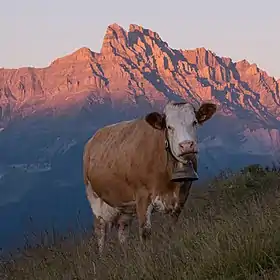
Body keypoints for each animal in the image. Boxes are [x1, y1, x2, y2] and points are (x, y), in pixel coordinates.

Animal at [83, 100, 217, 254]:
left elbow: (171, 227)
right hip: (94, 199)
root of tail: (93, 139)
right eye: (169, 127)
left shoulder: (182, 196)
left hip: (124, 207)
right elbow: (145, 232)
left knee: (122, 231)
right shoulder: (142, 196)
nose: (187, 145)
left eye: (194, 122)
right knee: (101, 233)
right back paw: (102, 255)